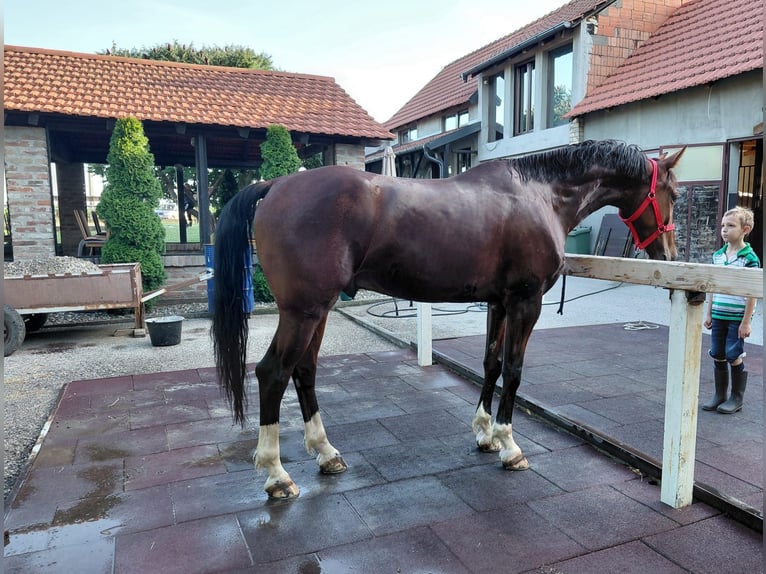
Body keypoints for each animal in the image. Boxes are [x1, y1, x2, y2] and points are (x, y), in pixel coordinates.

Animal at [212, 140, 684, 499]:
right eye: (676, 195)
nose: (669, 254)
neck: (541, 194)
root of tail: (275, 185)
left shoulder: (498, 303)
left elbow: (491, 364)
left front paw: (485, 434)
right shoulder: (525, 301)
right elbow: (514, 370)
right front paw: (510, 445)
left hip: (317, 311)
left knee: (304, 371)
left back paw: (327, 454)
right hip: (304, 311)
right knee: (273, 373)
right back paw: (277, 476)